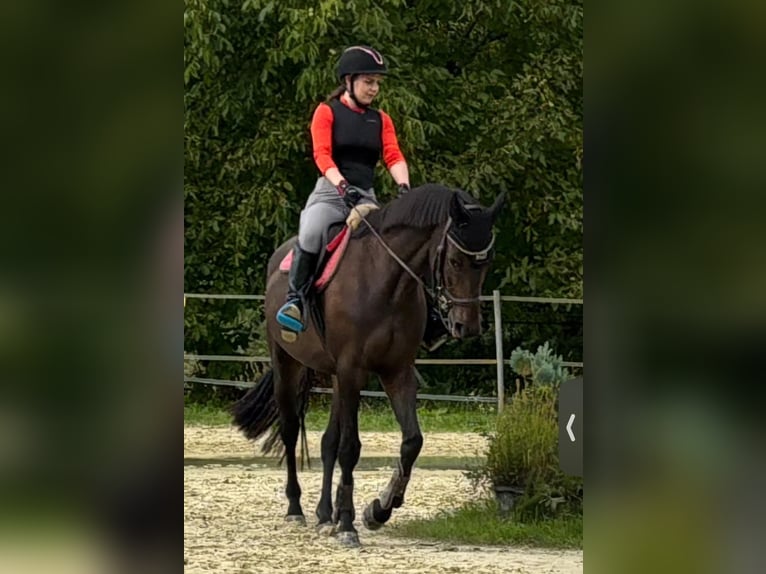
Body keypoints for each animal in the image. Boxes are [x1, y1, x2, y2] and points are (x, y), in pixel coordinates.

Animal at [232, 183, 505, 547]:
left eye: (486, 263)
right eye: (456, 260)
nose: (467, 326)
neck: (386, 281)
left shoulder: (397, 372)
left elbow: (411, 441)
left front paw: (378, 509)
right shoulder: (352, 371)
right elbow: (351, 447)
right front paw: (348, 524)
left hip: (333, 376)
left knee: (327, 441)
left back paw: (325, 515)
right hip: (287, 363)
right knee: (290, 430)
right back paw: (296, 509)